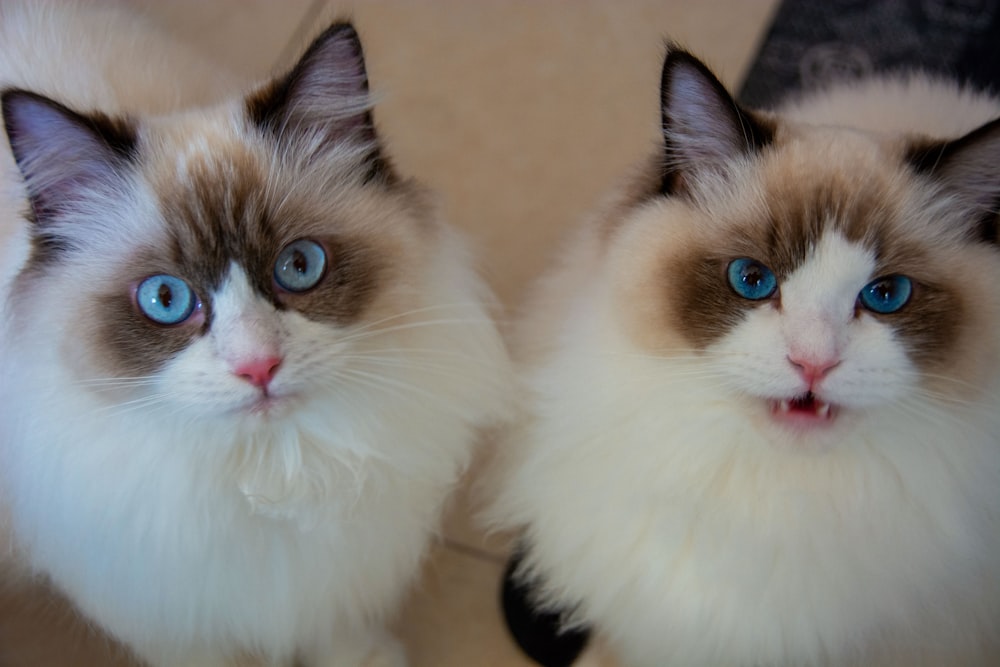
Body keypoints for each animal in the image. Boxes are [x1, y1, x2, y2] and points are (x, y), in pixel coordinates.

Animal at [0, 2, 512, 664]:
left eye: (298, 266)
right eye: (165, 300)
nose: (257, 366)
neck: (274, 472)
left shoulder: (333, 573)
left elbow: (337, 632)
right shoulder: (180, 624)